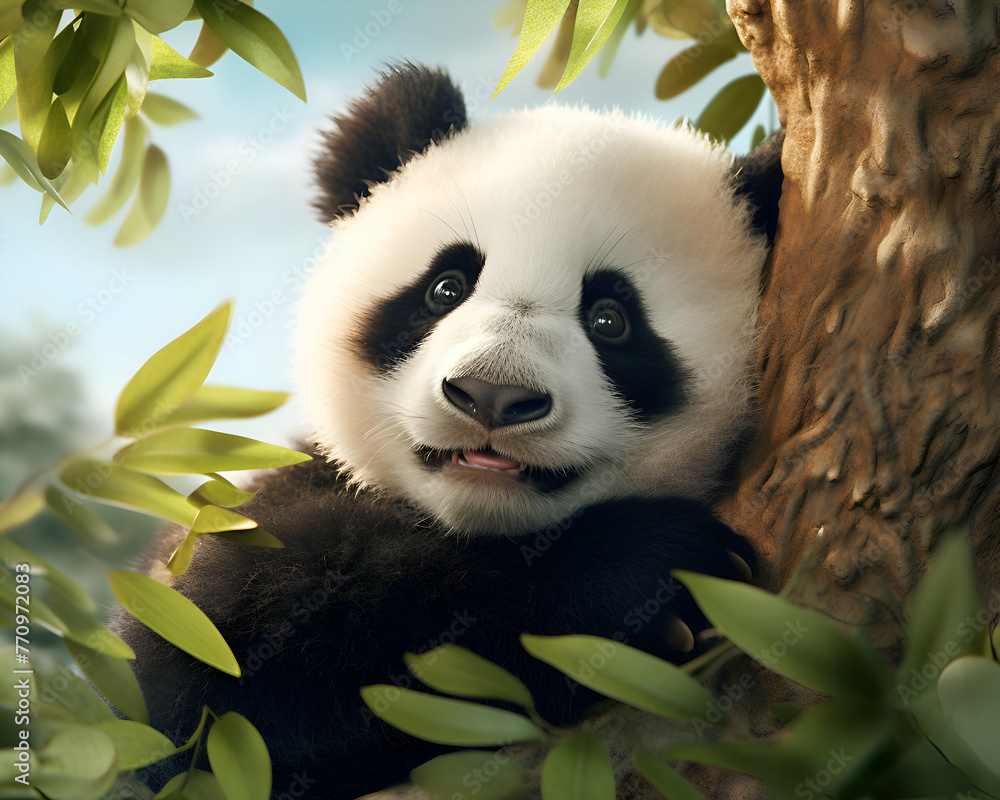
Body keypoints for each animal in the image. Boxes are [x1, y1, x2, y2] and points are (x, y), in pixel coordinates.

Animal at [114, 64, 782, 799]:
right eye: (446, 287)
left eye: (612, 319)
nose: (493, 394)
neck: (472, 527)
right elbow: (217, 671)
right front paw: (653, 573)